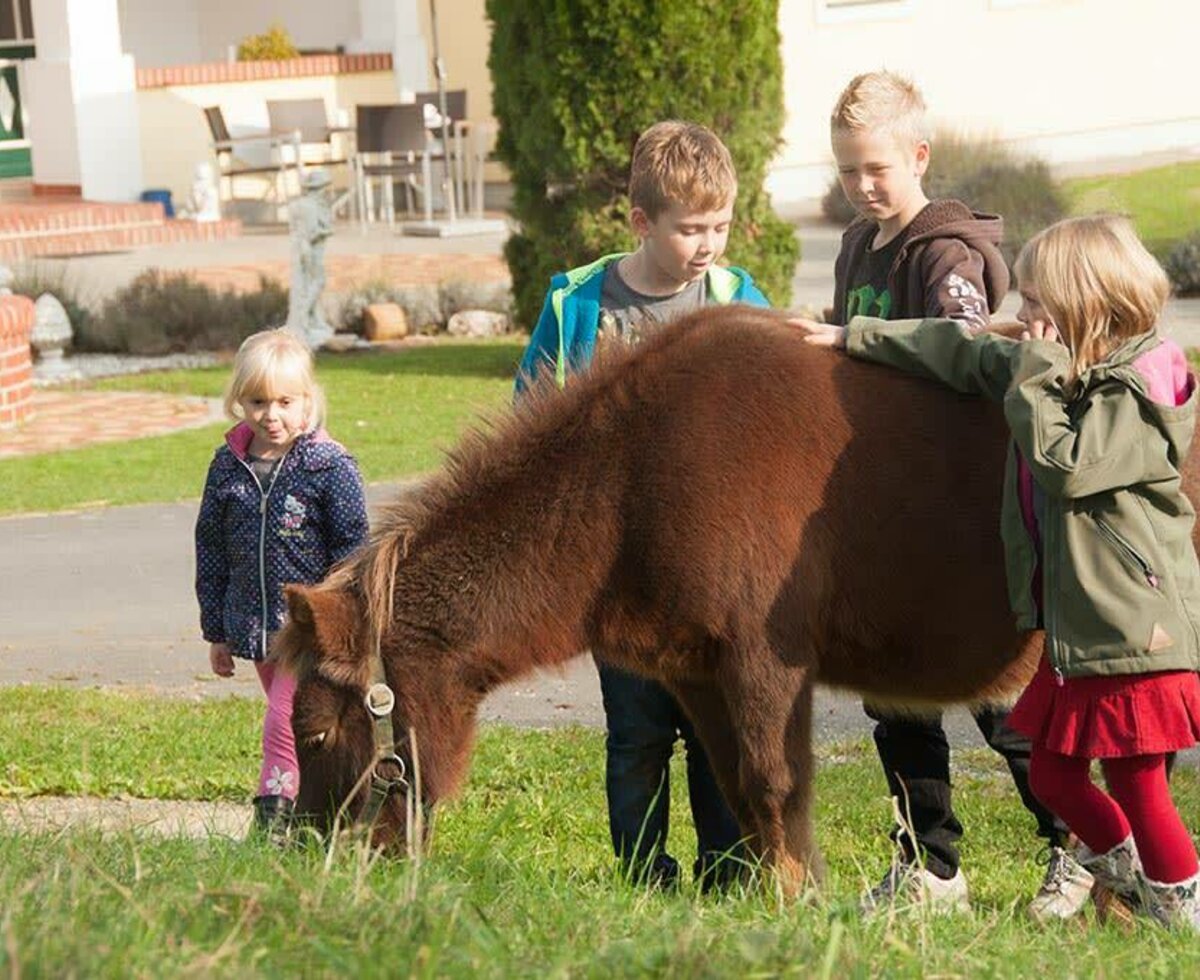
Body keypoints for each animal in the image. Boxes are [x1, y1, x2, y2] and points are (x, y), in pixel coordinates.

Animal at [270, 305, 1190, 892]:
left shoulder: (765, 663)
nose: (311, 863)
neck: (628, 483)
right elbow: (742, 792)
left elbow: (775, 784)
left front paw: (794, 901)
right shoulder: (698, 673)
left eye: (314, 733)